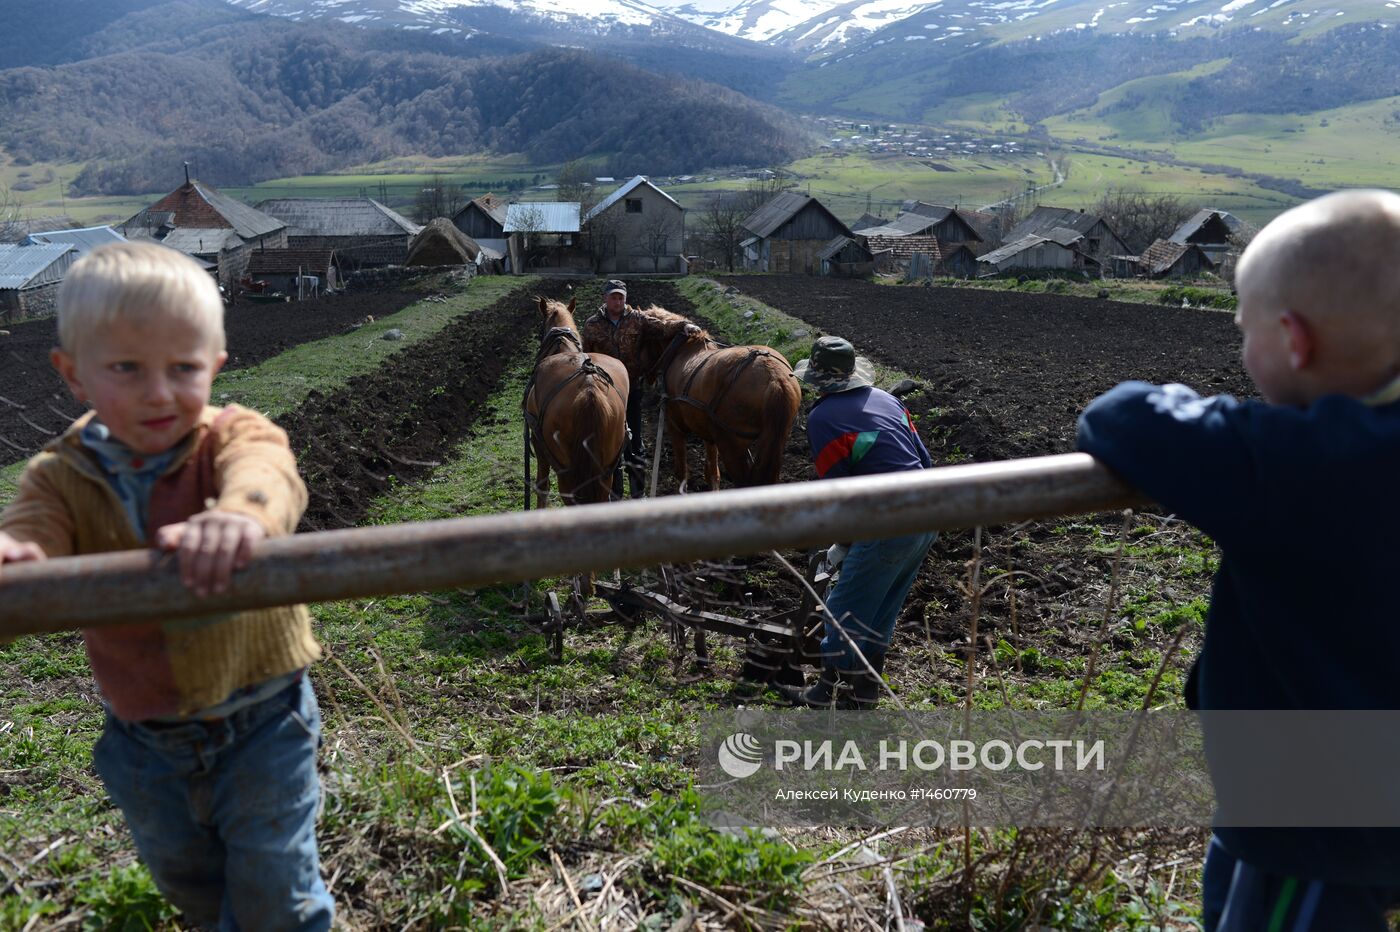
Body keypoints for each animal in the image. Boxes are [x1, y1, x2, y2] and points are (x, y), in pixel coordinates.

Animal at [635, 306, 800, 492]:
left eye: (641, 338)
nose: (642, 379)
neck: (681, 351)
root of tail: (774, 378)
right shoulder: (709, 433)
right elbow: (712, 472)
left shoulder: (674, 425)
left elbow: (682, 472)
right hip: (774, 441)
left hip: (730, 445)